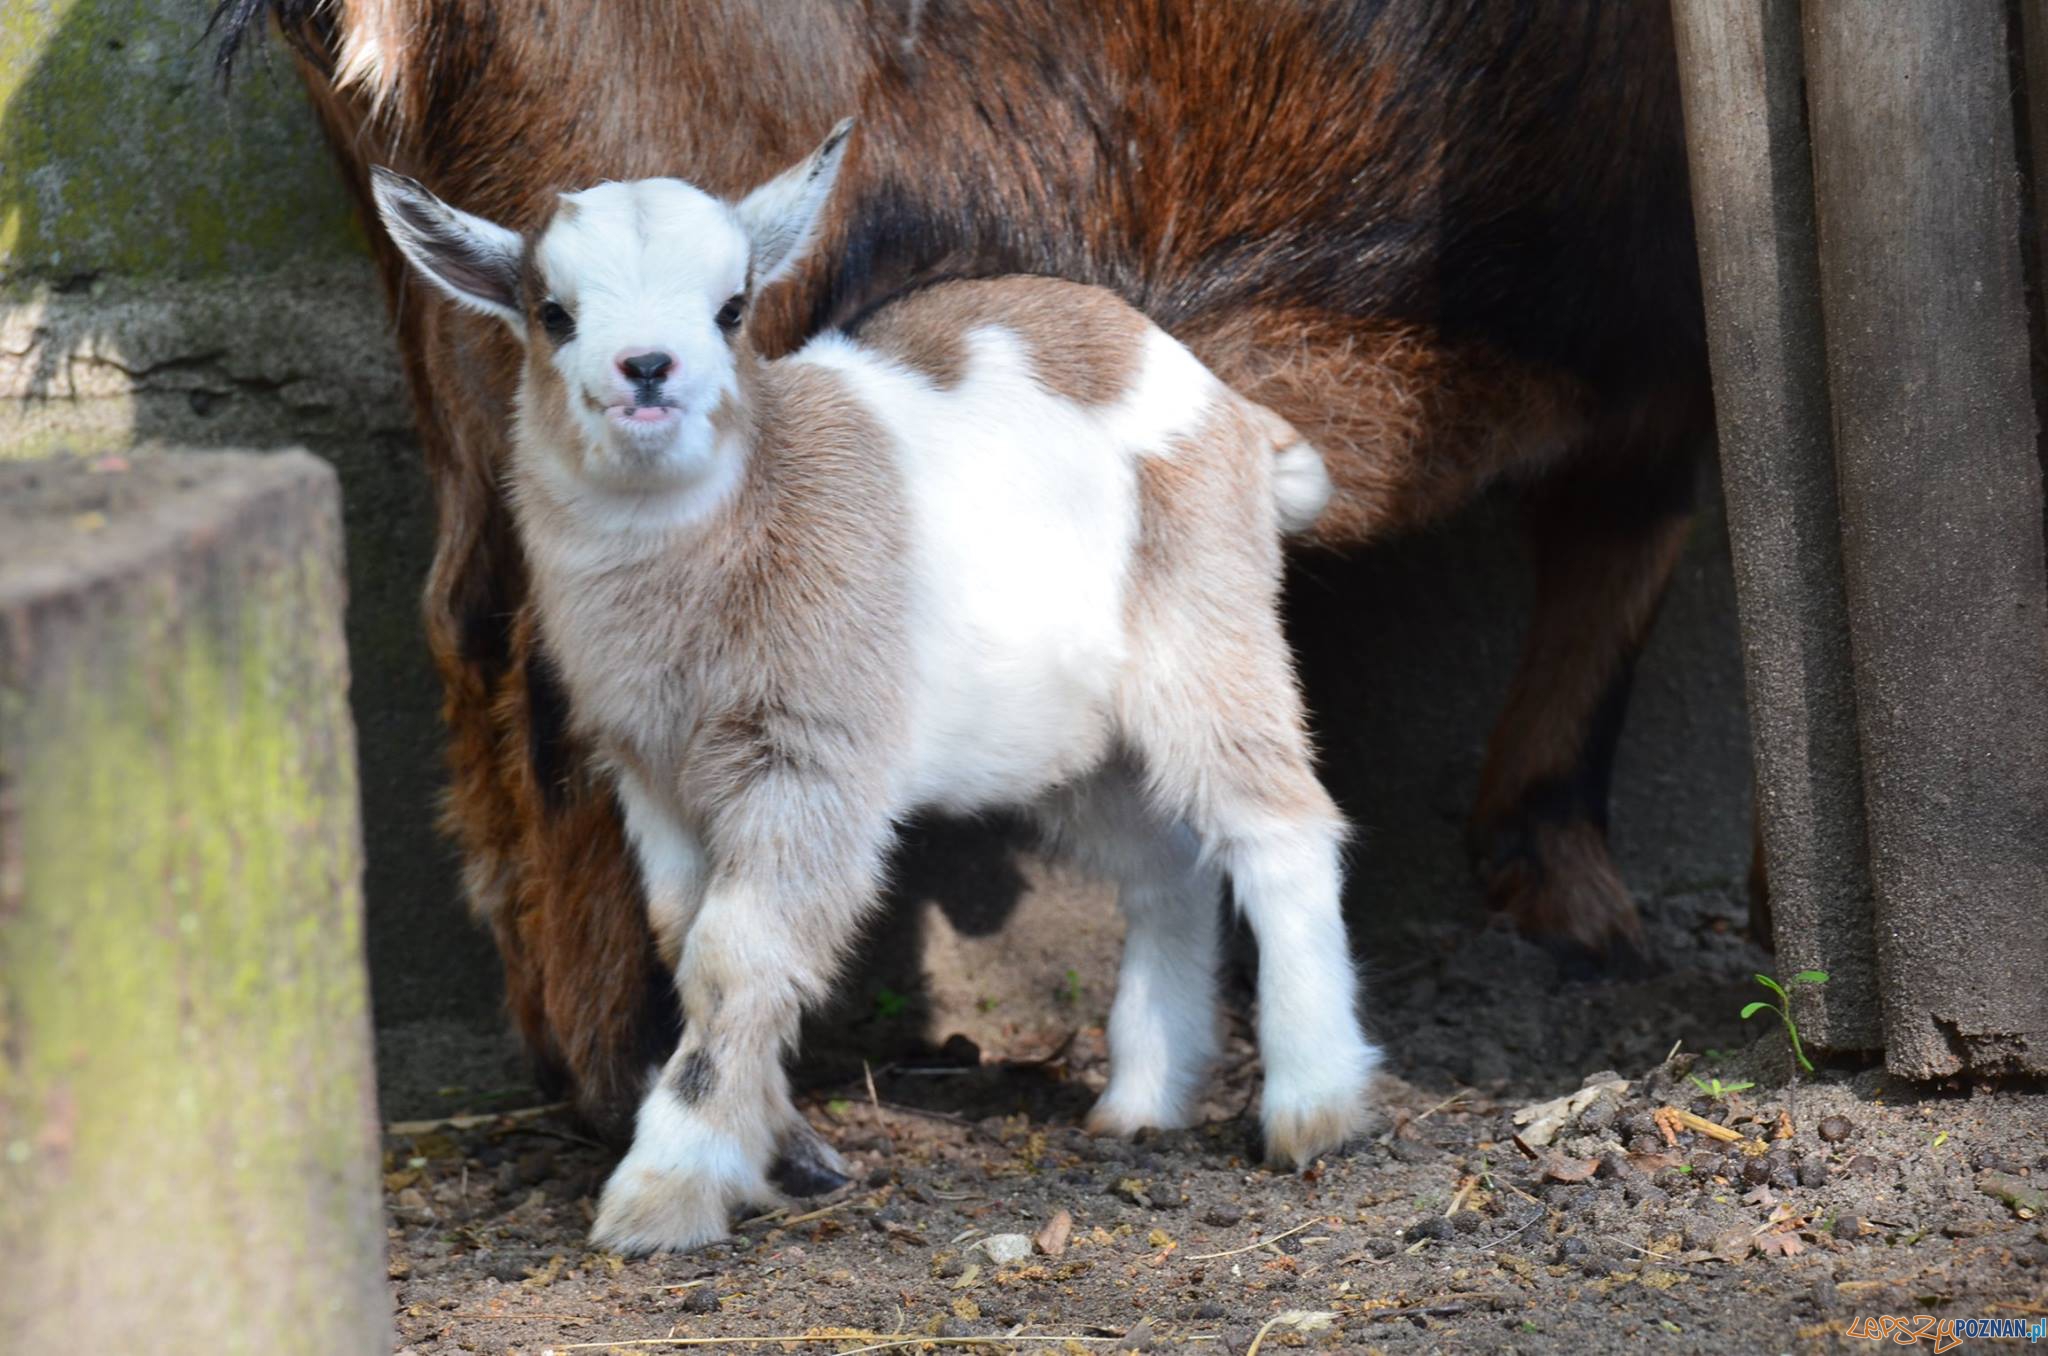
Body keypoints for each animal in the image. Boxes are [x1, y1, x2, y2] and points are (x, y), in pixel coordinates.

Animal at [376, 122, 1384, 1261]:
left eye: (733, 307)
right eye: (552, 312)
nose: (647, 370)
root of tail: (1232, 413)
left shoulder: (813, 752)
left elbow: (737, 954)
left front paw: (662, 1194)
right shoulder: (657, 771)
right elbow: (686, 941)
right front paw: (778, 1153)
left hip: (1205, 631)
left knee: (1278, 826)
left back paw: (1312, 1109)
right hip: (1069, 739)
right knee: (1163, 865)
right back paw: (1140, 1101)